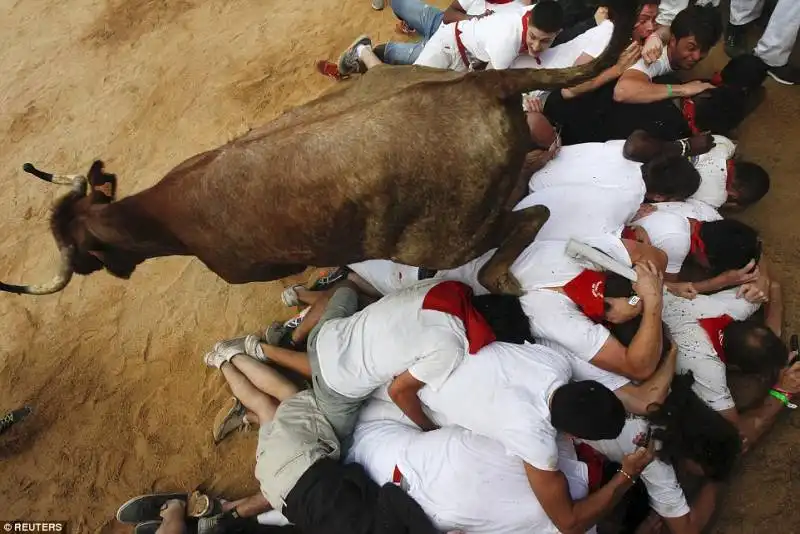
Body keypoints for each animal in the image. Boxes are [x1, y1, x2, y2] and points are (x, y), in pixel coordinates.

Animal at [1, 4, 636, 298]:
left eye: (85, 251)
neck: (165, 215)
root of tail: (484, 84)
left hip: (446, 237)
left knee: (533, 213)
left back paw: (499, 274)